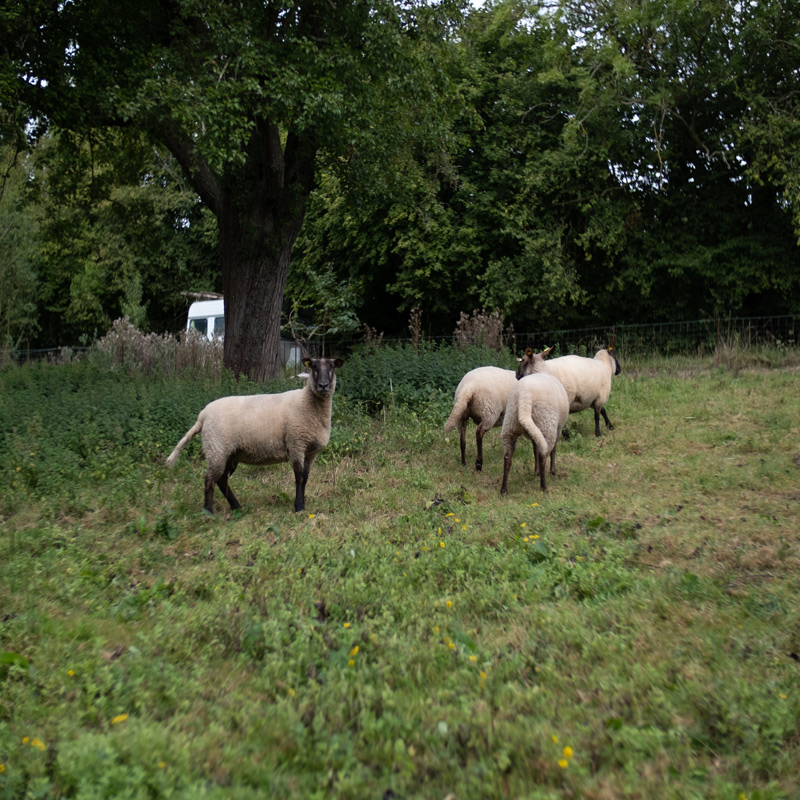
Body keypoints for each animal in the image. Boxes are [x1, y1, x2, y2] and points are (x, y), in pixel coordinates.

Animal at [166, 356, 344, 512]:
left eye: (332, 367)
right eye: (313, 367)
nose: (323, 385)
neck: (307, 402)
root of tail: (202, 416)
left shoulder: (311, 452)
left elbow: (305, 478)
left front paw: (302, 504)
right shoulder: (296, 445)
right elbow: (299, 478)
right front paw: (299, 507)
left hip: (230, 454)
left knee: (222, 480)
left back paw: (236, 507)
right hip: (217, 448)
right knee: (209, 480)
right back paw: (208, 512)